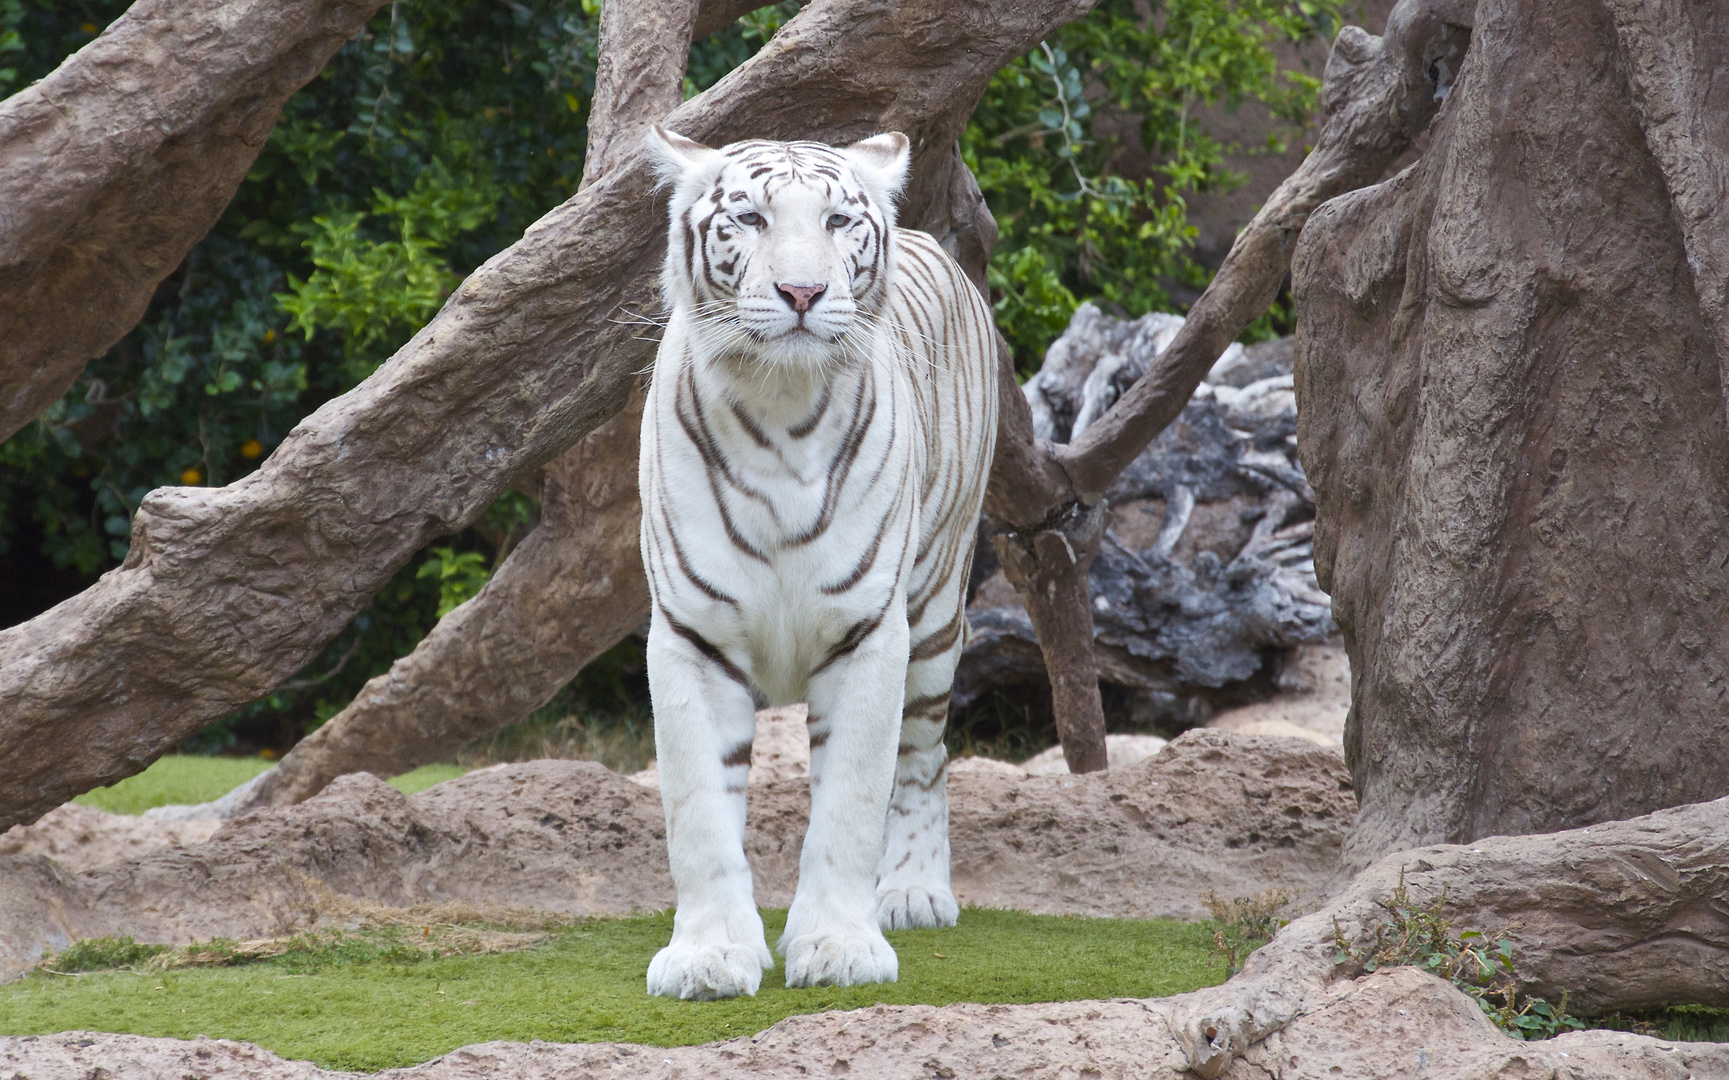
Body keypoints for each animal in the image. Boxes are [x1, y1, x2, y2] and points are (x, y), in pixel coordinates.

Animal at [639, 128, 1002, 1002]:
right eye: (748, 218)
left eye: (838, 221)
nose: (801, 291)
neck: (779, 403)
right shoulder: (692, 638)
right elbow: (699, 813)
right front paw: (709, 955)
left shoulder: (868, 634)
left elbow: (852, 802)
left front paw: (839, 946)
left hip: (935, 612)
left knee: (923, 757)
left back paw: (912, 892)